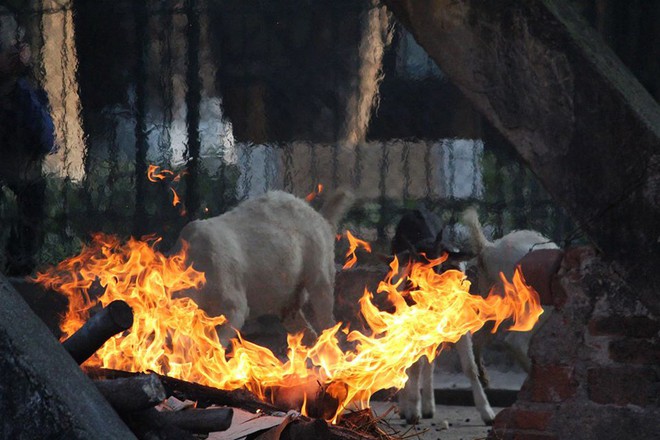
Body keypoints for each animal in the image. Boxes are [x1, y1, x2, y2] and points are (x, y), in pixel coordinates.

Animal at [173, 189, 354, 348]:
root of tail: (317, 214)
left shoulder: (221, 277)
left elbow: (234, 313)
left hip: (313, 248)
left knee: (322, 293)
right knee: (291, 313)